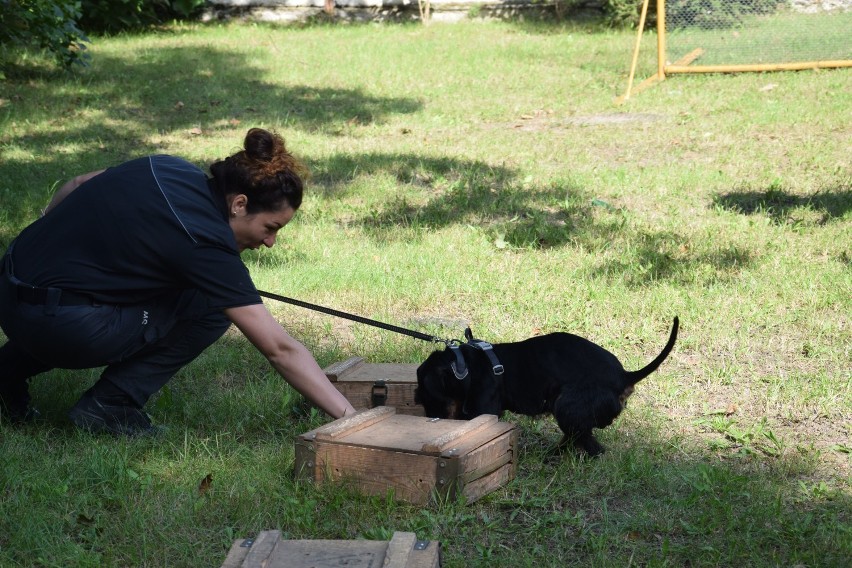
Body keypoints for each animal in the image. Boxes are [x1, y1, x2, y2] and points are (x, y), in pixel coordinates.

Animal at [414, 318, 680, 454]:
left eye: (430, 399)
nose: (430, 421)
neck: (464, 366)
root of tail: (625, 376)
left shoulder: (484, 411)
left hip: (566, 405)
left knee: (589, 444)